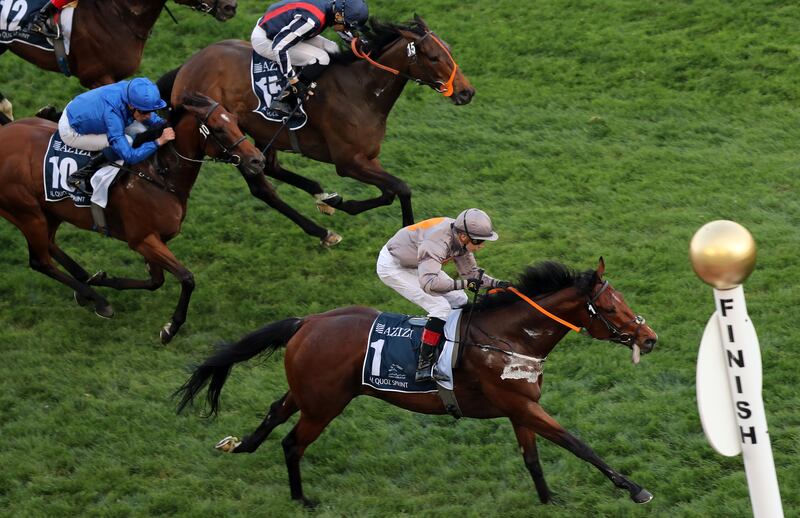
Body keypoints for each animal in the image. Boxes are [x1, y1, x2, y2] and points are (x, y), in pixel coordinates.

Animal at [0, 93, 266, 346]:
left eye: (236, 122)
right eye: (218, 129)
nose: (257, 160)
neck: (159, 173)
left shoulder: (157, 239)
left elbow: (155, 281)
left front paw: (103, 278)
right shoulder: (142, 239)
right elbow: (186, 278)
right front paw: (171, 328)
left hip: (50, 210)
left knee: (50, 246)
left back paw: (86, 283)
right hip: (27, 213)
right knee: (40, 261)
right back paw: (98, 300)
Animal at [159, 17, 478, 249]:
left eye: (449, 50)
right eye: (434, 57)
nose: (467, 92)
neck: (363, 91)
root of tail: (187, 66)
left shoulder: (368, 158)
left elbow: (389, 191)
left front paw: (339, 202)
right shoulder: (348, 162)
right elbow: (401, 188)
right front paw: (404, 231)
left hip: (262, 132)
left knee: (270, 166)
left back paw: (321, 194)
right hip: (225, 137)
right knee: (262, 187)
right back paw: (322, 231)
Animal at [178, 258, 660, 508]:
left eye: (622, 301)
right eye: (611, 308)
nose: (649, 338)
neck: (509, 337)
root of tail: (307, 321)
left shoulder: (519, 408)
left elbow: (532, 459)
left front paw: (548, 500)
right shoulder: (521, 405)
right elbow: (578, 444)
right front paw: (635, 488)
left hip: (309, 393)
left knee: (274, 412)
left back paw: (241, 445)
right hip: (324, 404)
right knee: (293, 443)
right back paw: (303, 500)